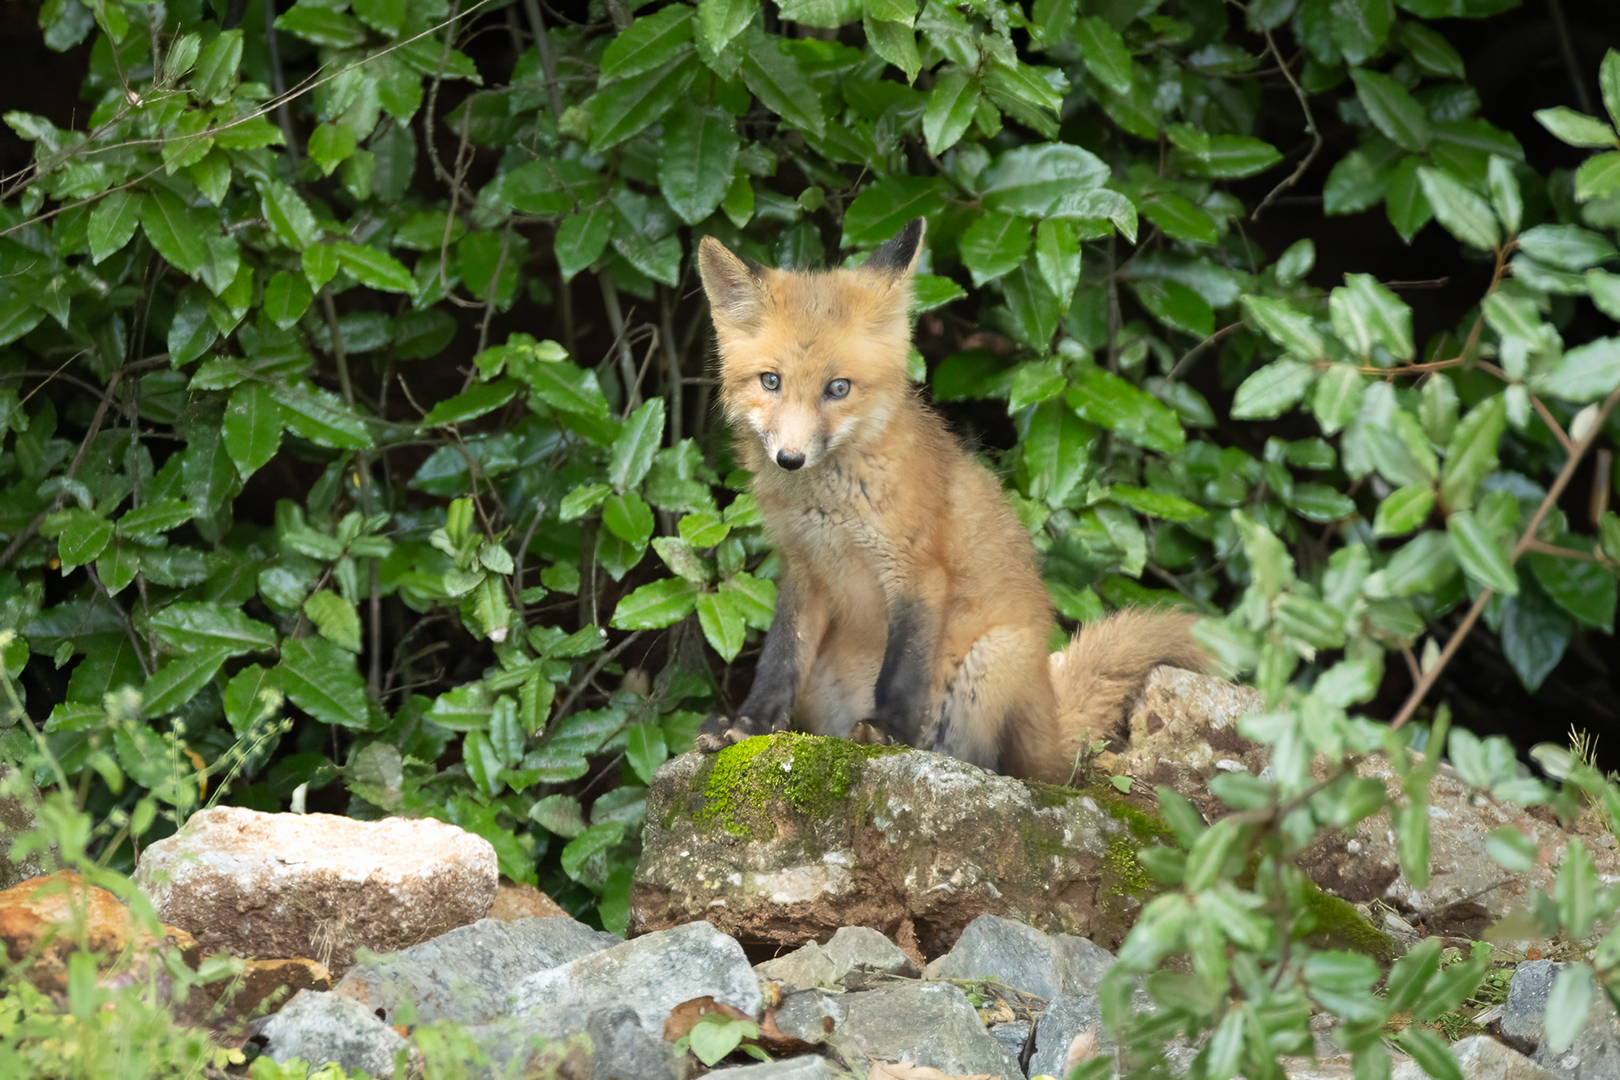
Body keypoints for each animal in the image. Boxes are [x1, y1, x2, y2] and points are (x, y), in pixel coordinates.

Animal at [692, 217, 1210, 785]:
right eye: (771, 381)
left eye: (838, 388)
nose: (791, 458)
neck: (829, 510)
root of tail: (1050, 727)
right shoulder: (801, 570)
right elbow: (778, 662)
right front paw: (746, 726)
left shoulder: (918, 570)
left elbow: (903, 672)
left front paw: (888, 733)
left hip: (987, 669)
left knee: (984, 759)